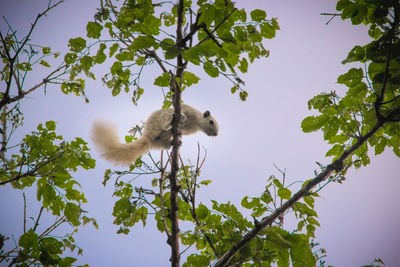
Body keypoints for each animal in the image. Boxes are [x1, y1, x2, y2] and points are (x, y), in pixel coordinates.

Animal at [91, 104, 219, 165]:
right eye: (211, 121)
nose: (215, 134)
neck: (196, 122)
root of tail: (148, 136)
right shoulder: (187, 108)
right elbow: (182, 111)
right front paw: (182, 117)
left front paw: (180, 135)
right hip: (160, 119)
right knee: (165, 121)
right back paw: (171, 123)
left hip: (160, 142)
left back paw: (175, 141)